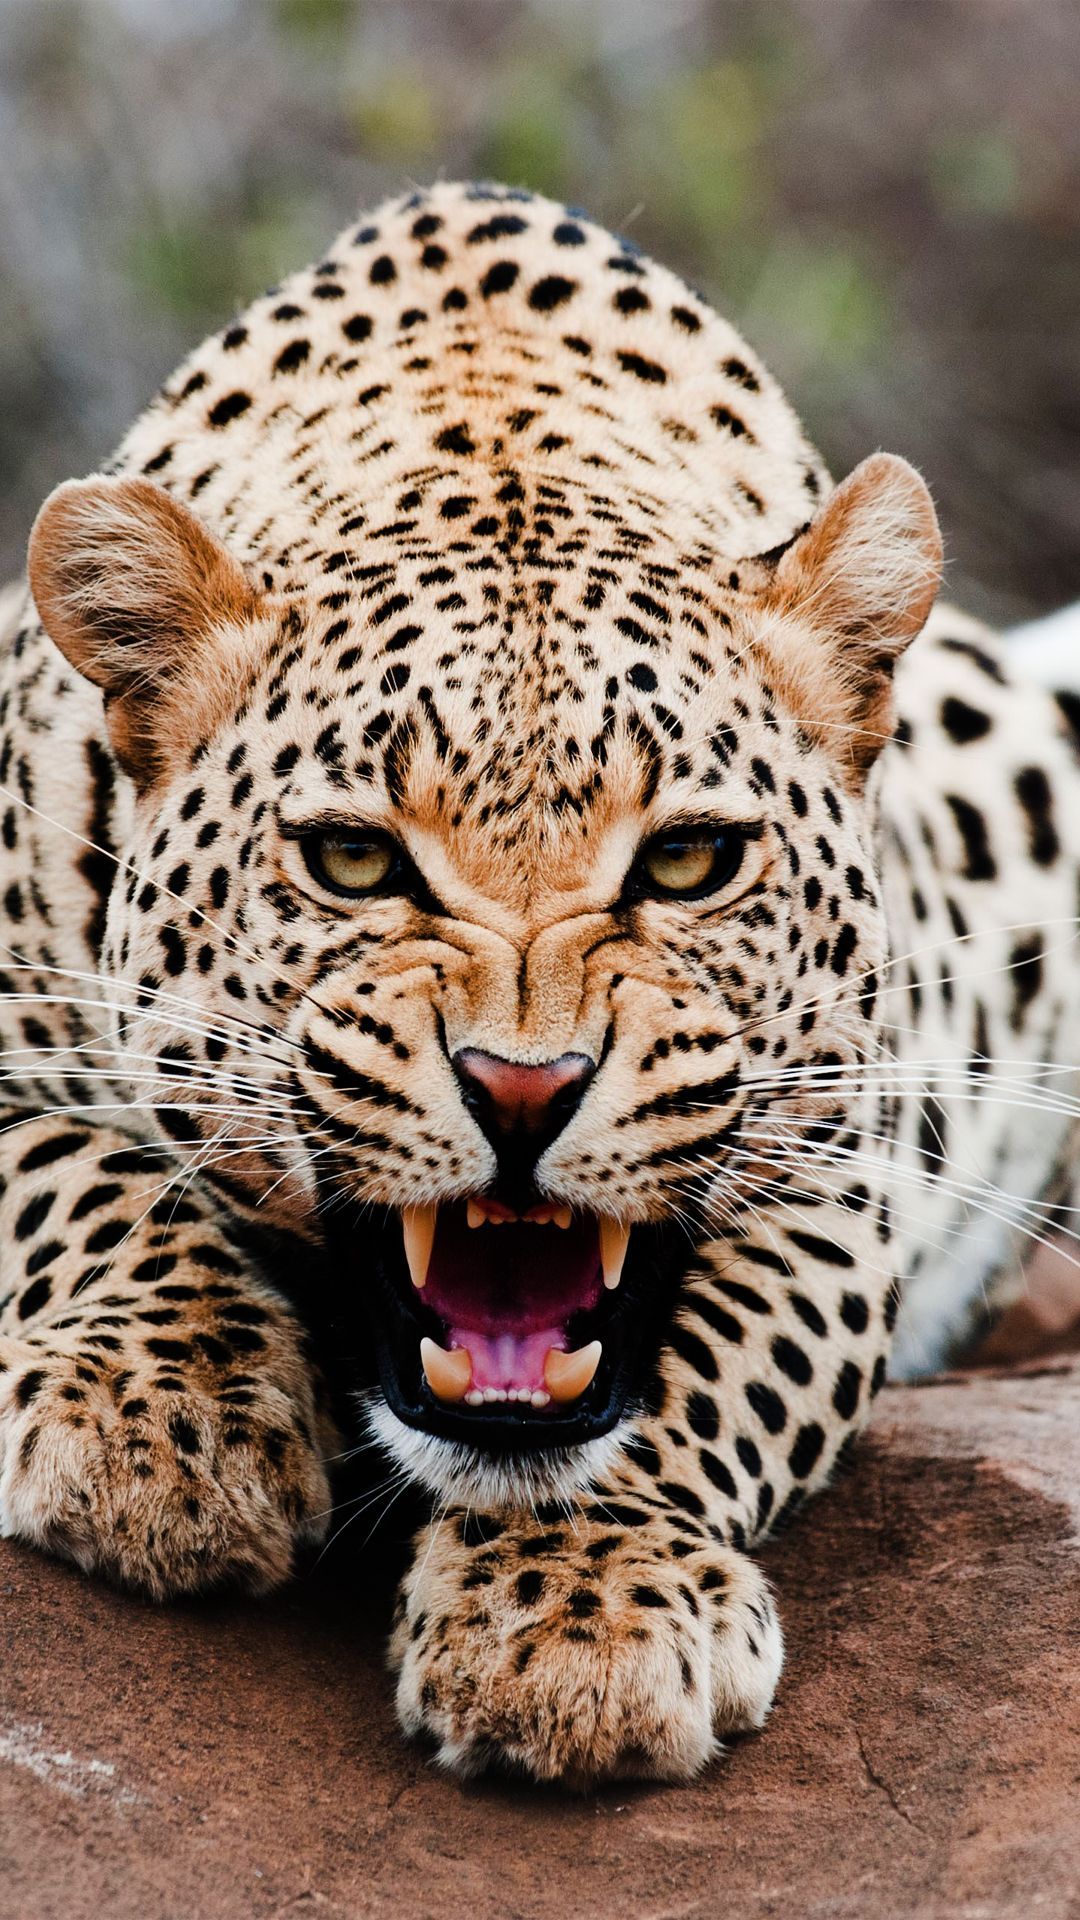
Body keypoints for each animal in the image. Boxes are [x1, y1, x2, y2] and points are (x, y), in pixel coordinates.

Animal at [2, 179, 1079, 1786]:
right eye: (355, 861)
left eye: (689, 861)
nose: (523, 1090)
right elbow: (76, 1175)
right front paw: (163, 1424)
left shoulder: (851, 1152)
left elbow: (710, 1367)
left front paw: (579, 1613)